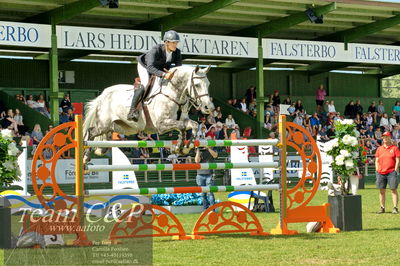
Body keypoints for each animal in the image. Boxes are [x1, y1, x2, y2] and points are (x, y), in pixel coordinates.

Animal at [82, 65, 214, 161]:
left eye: (208, 84)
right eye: (197, 85)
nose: (208, 107)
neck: (173, 94)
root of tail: (103, 95)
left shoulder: (182, 120)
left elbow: (194, 125)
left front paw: (185, 147)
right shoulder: (161, 124)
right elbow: (181, 127)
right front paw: (180, 146)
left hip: (121, 127)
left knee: (105, 135)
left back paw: (100, 150)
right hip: (104, 124)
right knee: (91, 132)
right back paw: (86, 157)